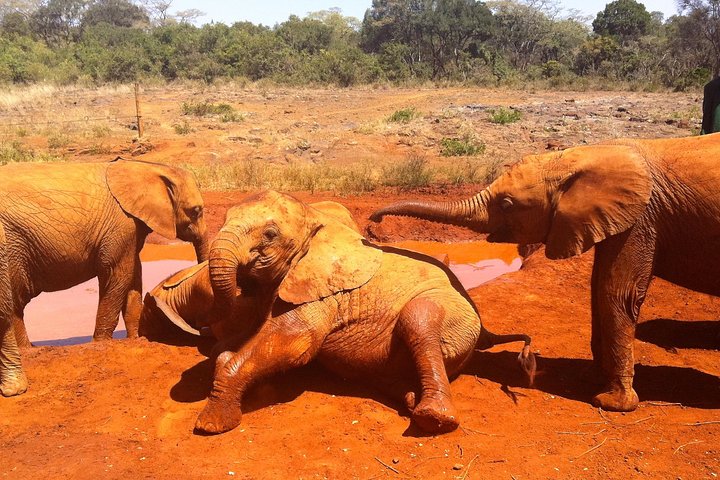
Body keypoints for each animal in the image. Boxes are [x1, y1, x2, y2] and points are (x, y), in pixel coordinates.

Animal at [0, 157, 207, 397]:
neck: (146, 167)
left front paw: (136, 339)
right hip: (13, 245)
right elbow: (118, 275)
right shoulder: (121, 224)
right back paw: (28, 349)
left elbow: (133, 276)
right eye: (196, 211)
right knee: (16, 300)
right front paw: (101, 343)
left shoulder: (131, 227)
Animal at [194, 190, 535, 435]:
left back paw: (433, 417)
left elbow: (297, 343)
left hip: (452, 314)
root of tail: (485, 333)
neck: (315, 218)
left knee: (419, 319)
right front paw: (223, 353)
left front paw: (211, 424)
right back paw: (410, 397)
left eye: (269, 234)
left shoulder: (330, 292)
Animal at [370, 133, 720, 412]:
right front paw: (592, 379)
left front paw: (611, 402)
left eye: (507, 204)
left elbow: (618, 293)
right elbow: (598, 288)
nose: (374, 221)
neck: (586, 154)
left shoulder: (643, 217)